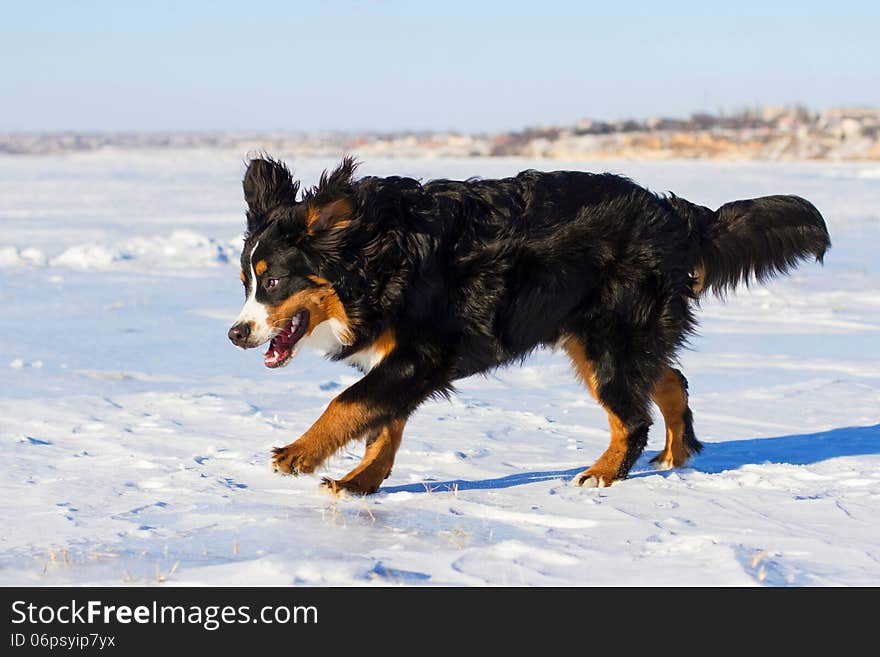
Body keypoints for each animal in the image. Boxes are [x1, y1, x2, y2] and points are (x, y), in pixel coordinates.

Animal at [229, 159, 832, 494]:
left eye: (273, 281)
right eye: (245, 281)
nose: (236, 334)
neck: (377, 260)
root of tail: (676, 215)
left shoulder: (420, 353)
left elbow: (349, 404)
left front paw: (297, 455)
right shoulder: (401, 360)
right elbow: (383, 425)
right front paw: (360, 484)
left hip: (605, 338)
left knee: (633, 415)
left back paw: (602, 475)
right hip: (602, 336)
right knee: (668, 380)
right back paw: (676, 453)